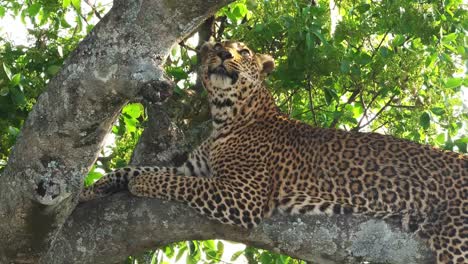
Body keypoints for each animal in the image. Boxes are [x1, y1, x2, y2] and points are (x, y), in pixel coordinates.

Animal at [80, 40, 464, 262]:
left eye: (244, 52)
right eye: (216, 46)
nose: (222, 54)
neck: (224, 116)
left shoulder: (241, 196)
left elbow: (172, 183)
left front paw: (139, 187)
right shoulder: (196, 169)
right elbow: (142, 170)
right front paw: (90, 190)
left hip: (456, 238)